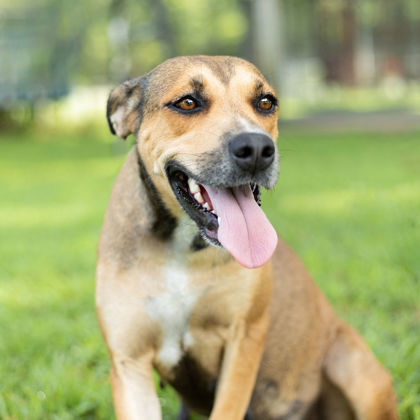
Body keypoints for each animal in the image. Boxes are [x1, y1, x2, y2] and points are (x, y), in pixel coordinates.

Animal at [95, 55, 398, 420]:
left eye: (265, 102)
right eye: (187, 103)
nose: (255, 147)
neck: (184, 248)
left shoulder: (244, 338)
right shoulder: (129, 364)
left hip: (354, 365)